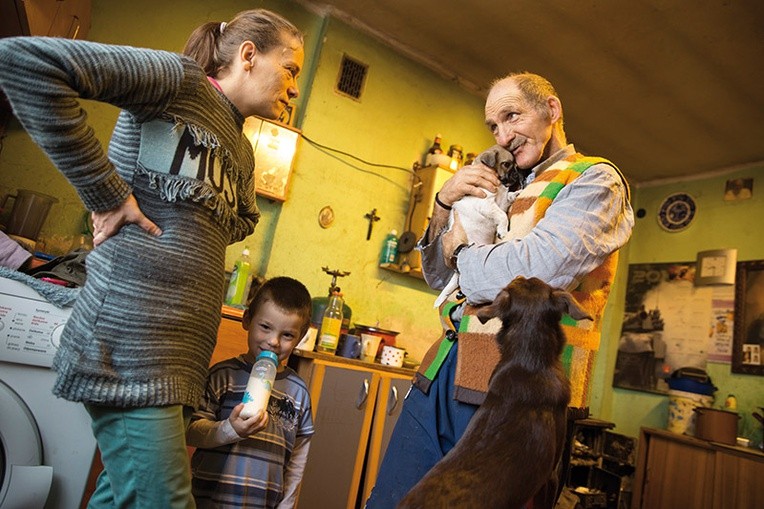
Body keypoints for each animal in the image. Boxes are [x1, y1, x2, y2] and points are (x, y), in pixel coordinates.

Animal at [436, 145, 524, 308]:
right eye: (507, 164)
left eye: (516, 165)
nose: (518, 175)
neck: (498, 187)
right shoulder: (487, 205)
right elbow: (502, 216)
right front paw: (503, 230)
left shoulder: (501, 202)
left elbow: (508, 199)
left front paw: (517, 193)